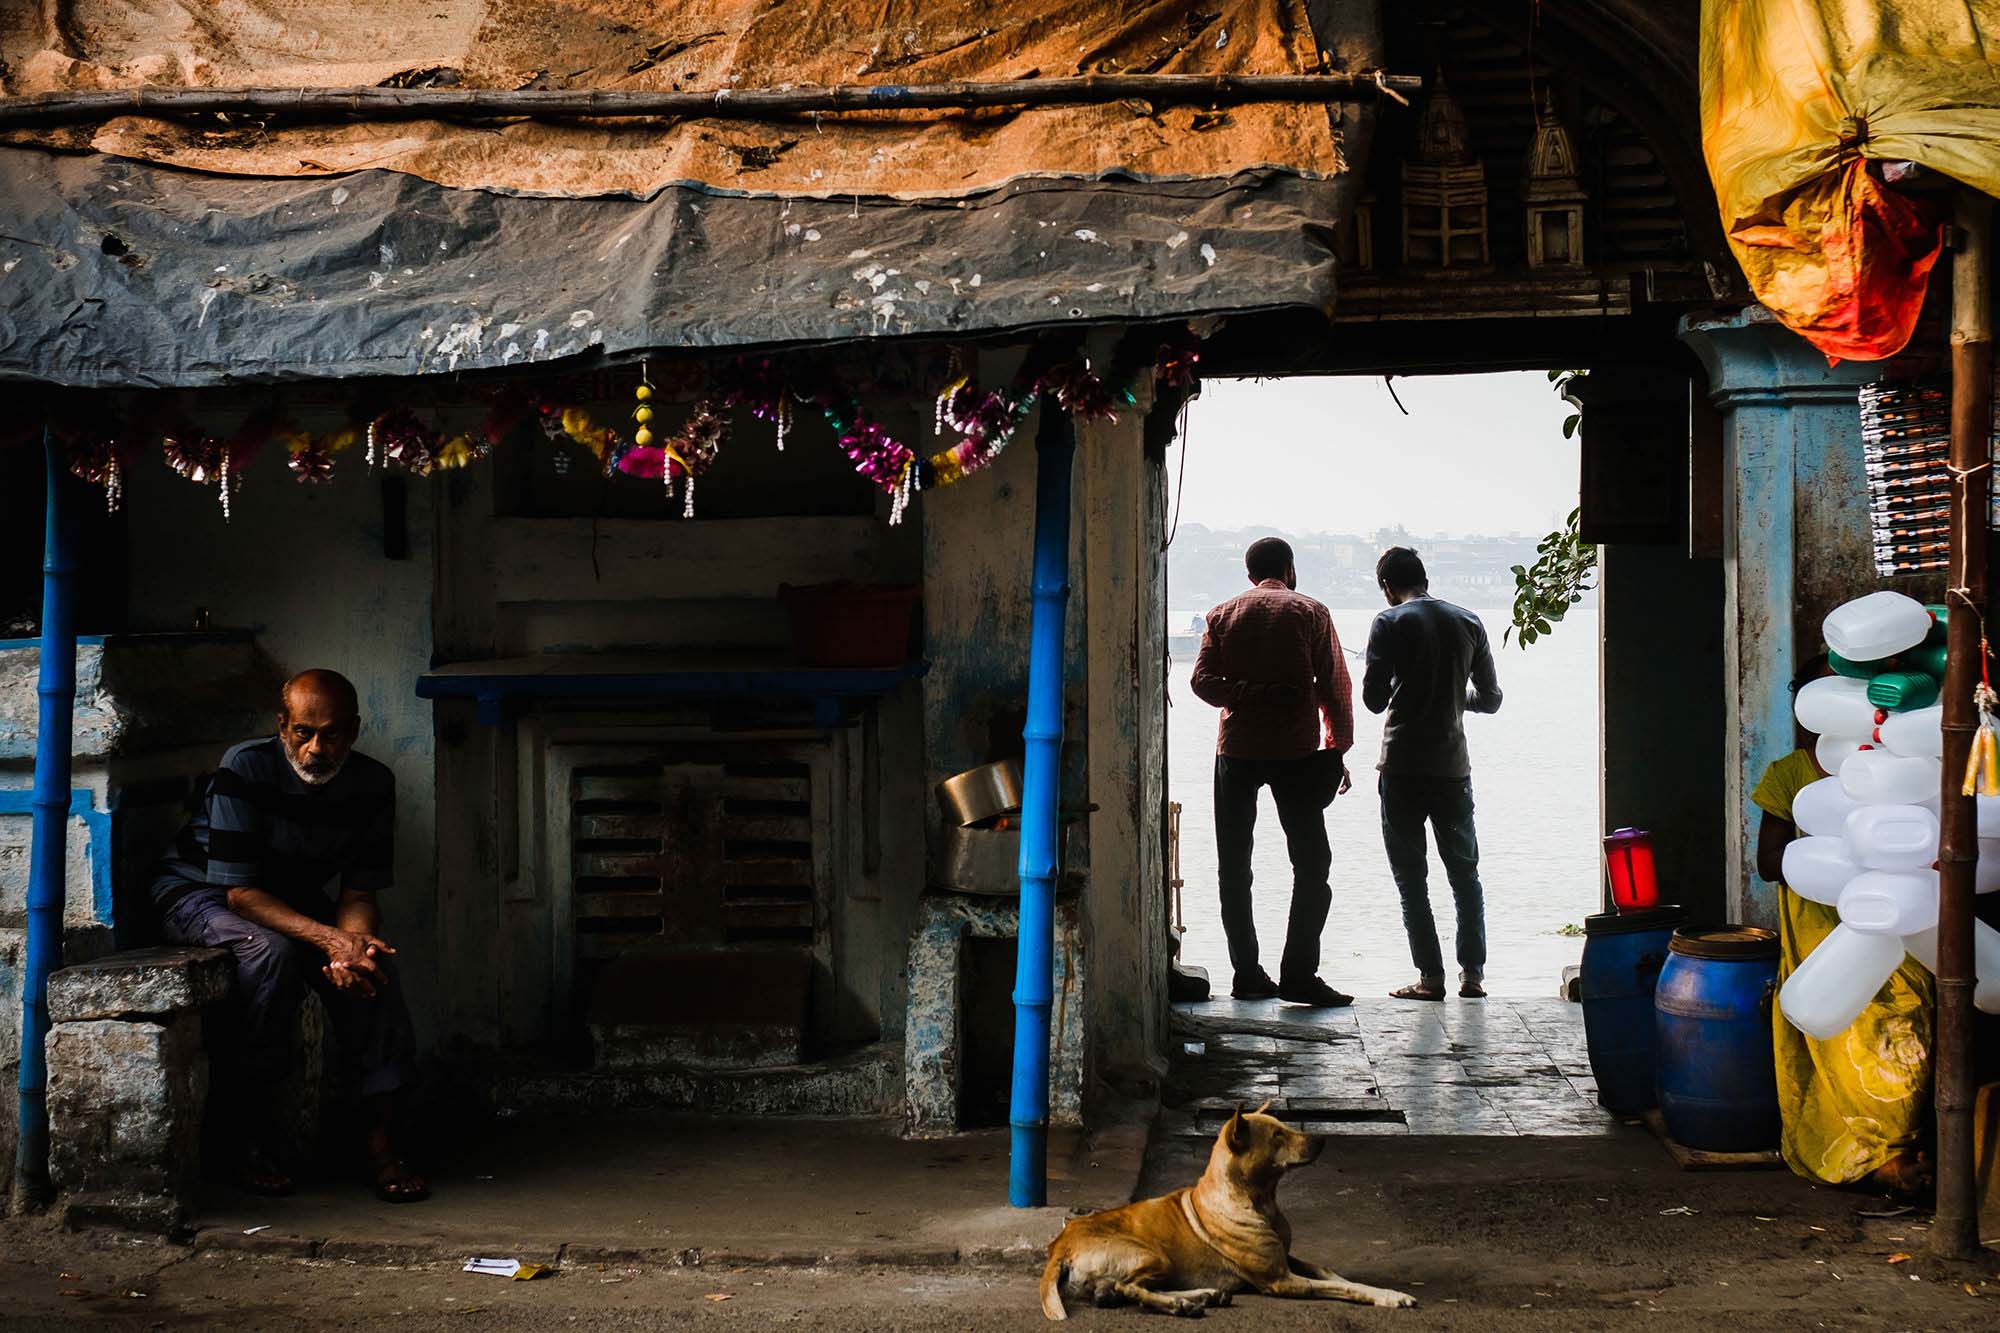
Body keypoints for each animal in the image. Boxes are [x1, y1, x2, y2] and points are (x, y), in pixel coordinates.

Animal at [1040, 1096, 1416, 1312]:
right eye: (1277, 1135)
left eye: (1283, 1127)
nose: (1322, 1139)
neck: (1259, 1199)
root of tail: (1059, 1245)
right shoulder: (1282, 1280)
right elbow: (1339, 1287)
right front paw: (1388, 1297)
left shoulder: (1289, 1257)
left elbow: (1334, 1274)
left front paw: (1380, 1288)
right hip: (1152, 1255)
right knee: (1129, 1287)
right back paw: (1181, 1304)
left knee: (1126, 1289)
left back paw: (1204, 1294)